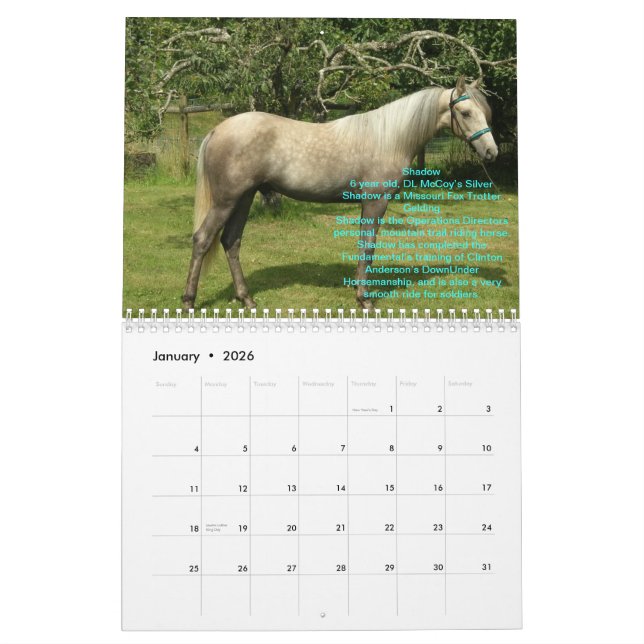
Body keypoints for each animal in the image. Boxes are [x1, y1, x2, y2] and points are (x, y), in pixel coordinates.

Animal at [181, 76, 498, 311]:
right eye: (466, 113)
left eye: (486, 113)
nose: (491, 152)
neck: (388, 139)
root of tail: (217, 130)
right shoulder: (375, 203)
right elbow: (368, 248)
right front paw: (364, 299)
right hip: (226, 201)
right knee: (202, 239)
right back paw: (188, 301)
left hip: (244, 198)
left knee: (231, 242)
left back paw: (246, 299)